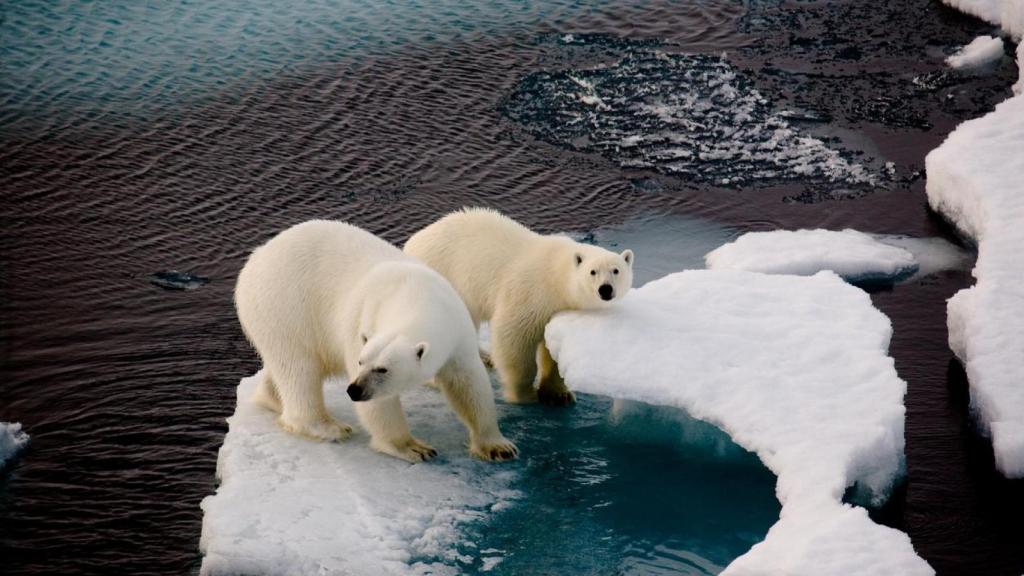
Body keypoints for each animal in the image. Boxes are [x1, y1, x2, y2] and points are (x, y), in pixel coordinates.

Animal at [234, 219, 516, 461]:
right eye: (361, 362)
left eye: (383, 369)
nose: (354, 389)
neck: (416, 295)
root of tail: (256, 257)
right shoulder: (362, 321)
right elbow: (380, 406)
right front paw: (413, 447)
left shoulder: (457, 328)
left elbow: (468, 383)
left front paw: (498, 447)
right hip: (285, 307)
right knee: (299, 369)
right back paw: (329, 427)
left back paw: (272, 398)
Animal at [401, 207, 630, 403]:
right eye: (593, 271)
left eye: (616, 270)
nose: (605, 289)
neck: (555, 276)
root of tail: (410, 244)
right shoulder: (529, 293)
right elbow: (513, 339)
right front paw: (524, 394)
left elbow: (553, 347)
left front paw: (559, 394)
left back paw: (484, 358)